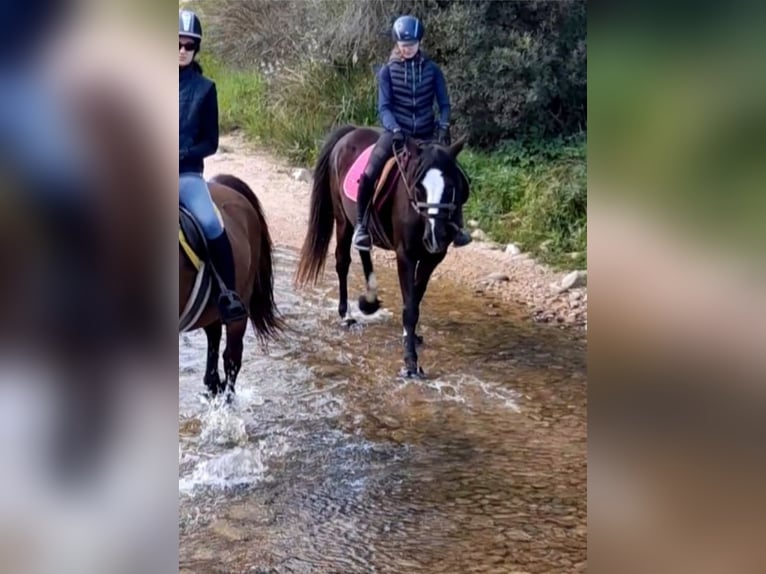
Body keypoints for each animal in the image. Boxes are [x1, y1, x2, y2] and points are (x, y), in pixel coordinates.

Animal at [296, 125, 472, 378]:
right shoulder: (405, 255)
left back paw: (368, 301)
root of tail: (350, 132)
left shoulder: (433, 257)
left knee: (364, 251)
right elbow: (410, 307)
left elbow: (415, 298)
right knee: (343, 262)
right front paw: (410, 363)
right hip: (343, 219)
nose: (434, 236)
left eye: (450, 187)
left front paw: (411, 336)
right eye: (418, 187)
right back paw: (347, 315)